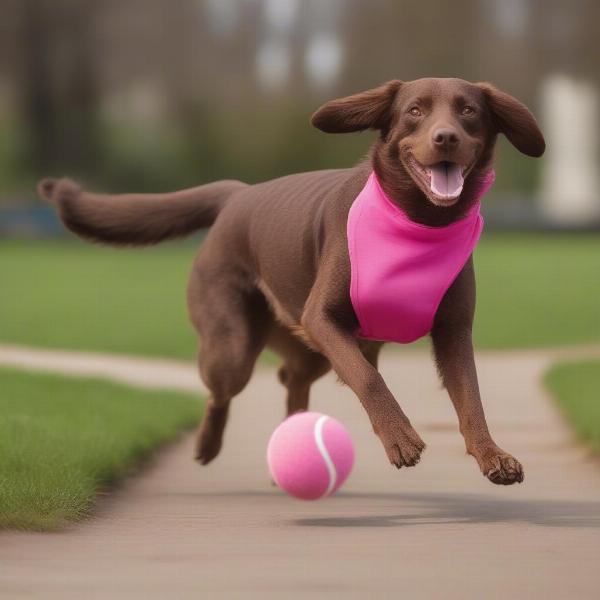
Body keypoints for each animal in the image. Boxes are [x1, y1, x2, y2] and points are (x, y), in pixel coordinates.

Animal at [37, 78, 544, 482]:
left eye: (469, 111)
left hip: (312, 347)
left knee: (290, 376)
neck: (418, 222)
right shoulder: (323, 317)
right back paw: (207, 445)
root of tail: (238, 195)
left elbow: (471, 397)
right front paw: (400, 437)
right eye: (415, 111)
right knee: (221, 391)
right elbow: (369, 379)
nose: (446, 137)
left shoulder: (453, 330)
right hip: (235, 345)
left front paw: (492, 455)